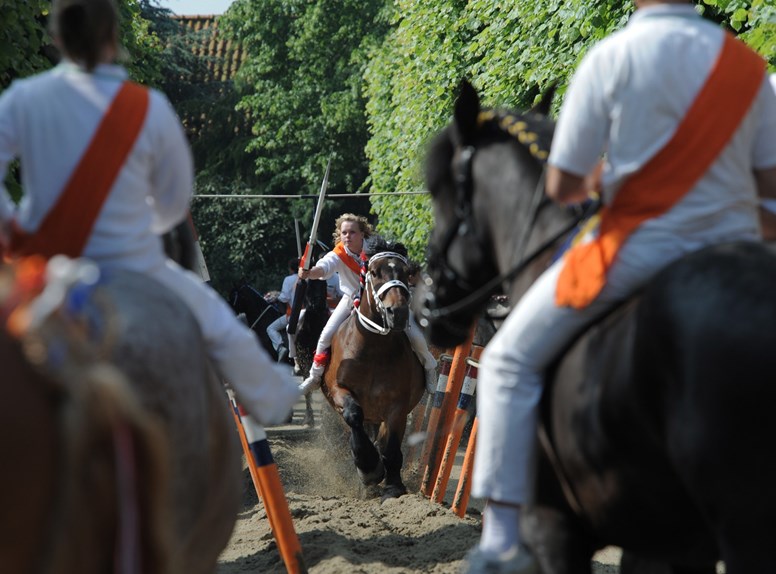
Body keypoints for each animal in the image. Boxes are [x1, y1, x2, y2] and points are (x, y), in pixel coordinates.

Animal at [320, 236, 424, 502]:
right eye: (374, 272)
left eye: (406, 273)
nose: (397, 312)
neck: (373, 350)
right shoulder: (339, 390)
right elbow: (353, 415)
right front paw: (369, 469)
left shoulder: (397, 404)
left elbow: (391, 445)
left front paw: (393, 486)